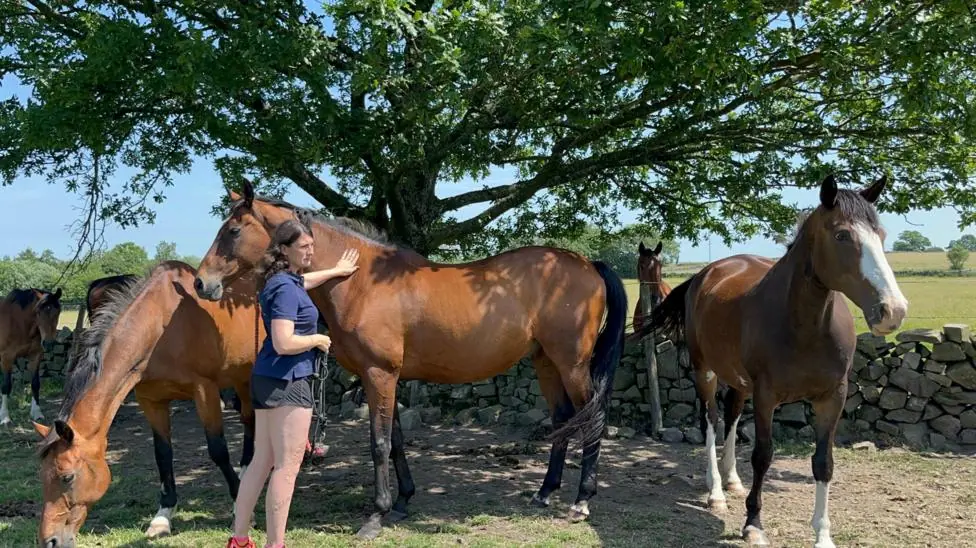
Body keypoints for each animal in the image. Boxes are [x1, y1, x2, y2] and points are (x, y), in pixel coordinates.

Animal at [0, 287, 63, 425]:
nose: (48, 343)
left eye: (58, 312)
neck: (20, 323)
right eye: (38, 312)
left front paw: (37, 413)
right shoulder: (7, 357)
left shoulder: (35, 356)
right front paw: (5, 417)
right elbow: (6, 385)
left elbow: (35, 383)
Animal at [35, 261, 262, 547]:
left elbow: (218, 450)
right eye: (41, 477)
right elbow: (162, 455)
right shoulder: (151, 400)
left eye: (67, 477)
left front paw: (240, 509)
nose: (50, 541)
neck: (161, 327)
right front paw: (162, 518)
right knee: (249, 421)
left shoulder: (206, 391)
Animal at [193, 180, 628, 539]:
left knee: (592, 419)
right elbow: (397, 440)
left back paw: (581, 500)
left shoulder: (379, 374)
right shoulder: (388, 378)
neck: (362, 281)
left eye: (233, 231)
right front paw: (402, 501)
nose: (201, 283)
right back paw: (544, 492)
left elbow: (379, 443)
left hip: (572, 364)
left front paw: (376, 515)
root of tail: (587, 264)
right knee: (563, 420)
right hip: (545, 362)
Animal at [635, 174, 908, 548]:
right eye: (841, 235)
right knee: (711, 420)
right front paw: (753, 524)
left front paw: (823, 534)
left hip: (737, 380)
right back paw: (716, 491)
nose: (892, 311)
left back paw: (732, 479)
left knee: (732, 416)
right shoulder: (766, 396)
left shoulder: (832, 398)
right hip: (706, 371)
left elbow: (823, 463)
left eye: (880, 235)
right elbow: (762, 455)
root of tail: (707, 273)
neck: (804, 327)